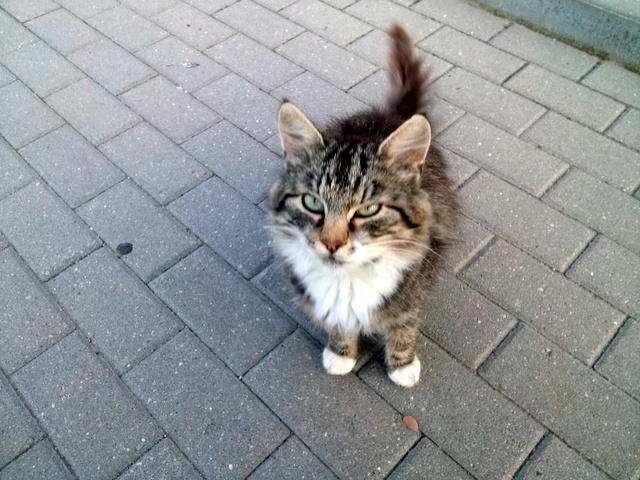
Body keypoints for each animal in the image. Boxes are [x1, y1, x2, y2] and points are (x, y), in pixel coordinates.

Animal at [268, 24, 458, 388]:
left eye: (368, 210)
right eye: (312, 203)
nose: (331, 244)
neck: (349, 280)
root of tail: (392, 114)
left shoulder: (414, 289)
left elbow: (404, 325)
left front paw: (402, 366)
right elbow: (339, 326)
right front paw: (341, 354)